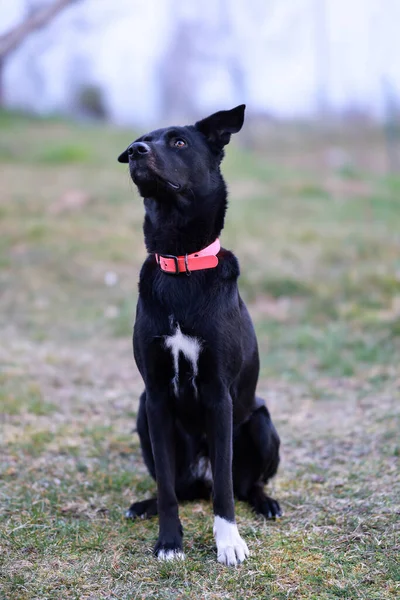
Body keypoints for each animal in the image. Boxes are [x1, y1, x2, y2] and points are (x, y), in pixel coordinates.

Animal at [119, 104, 282, 568]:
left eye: (178, 141)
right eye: (141, 140)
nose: (135, 152)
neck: (181, 264)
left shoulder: (218, 394)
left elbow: (225, 490)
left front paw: (228, 543)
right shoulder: (155, 396)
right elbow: (167, 489)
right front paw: (169, 542)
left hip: (262, 423)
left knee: (240, 486)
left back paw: (265, 503)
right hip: (142, 416)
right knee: (179, 487)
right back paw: (143, 505)